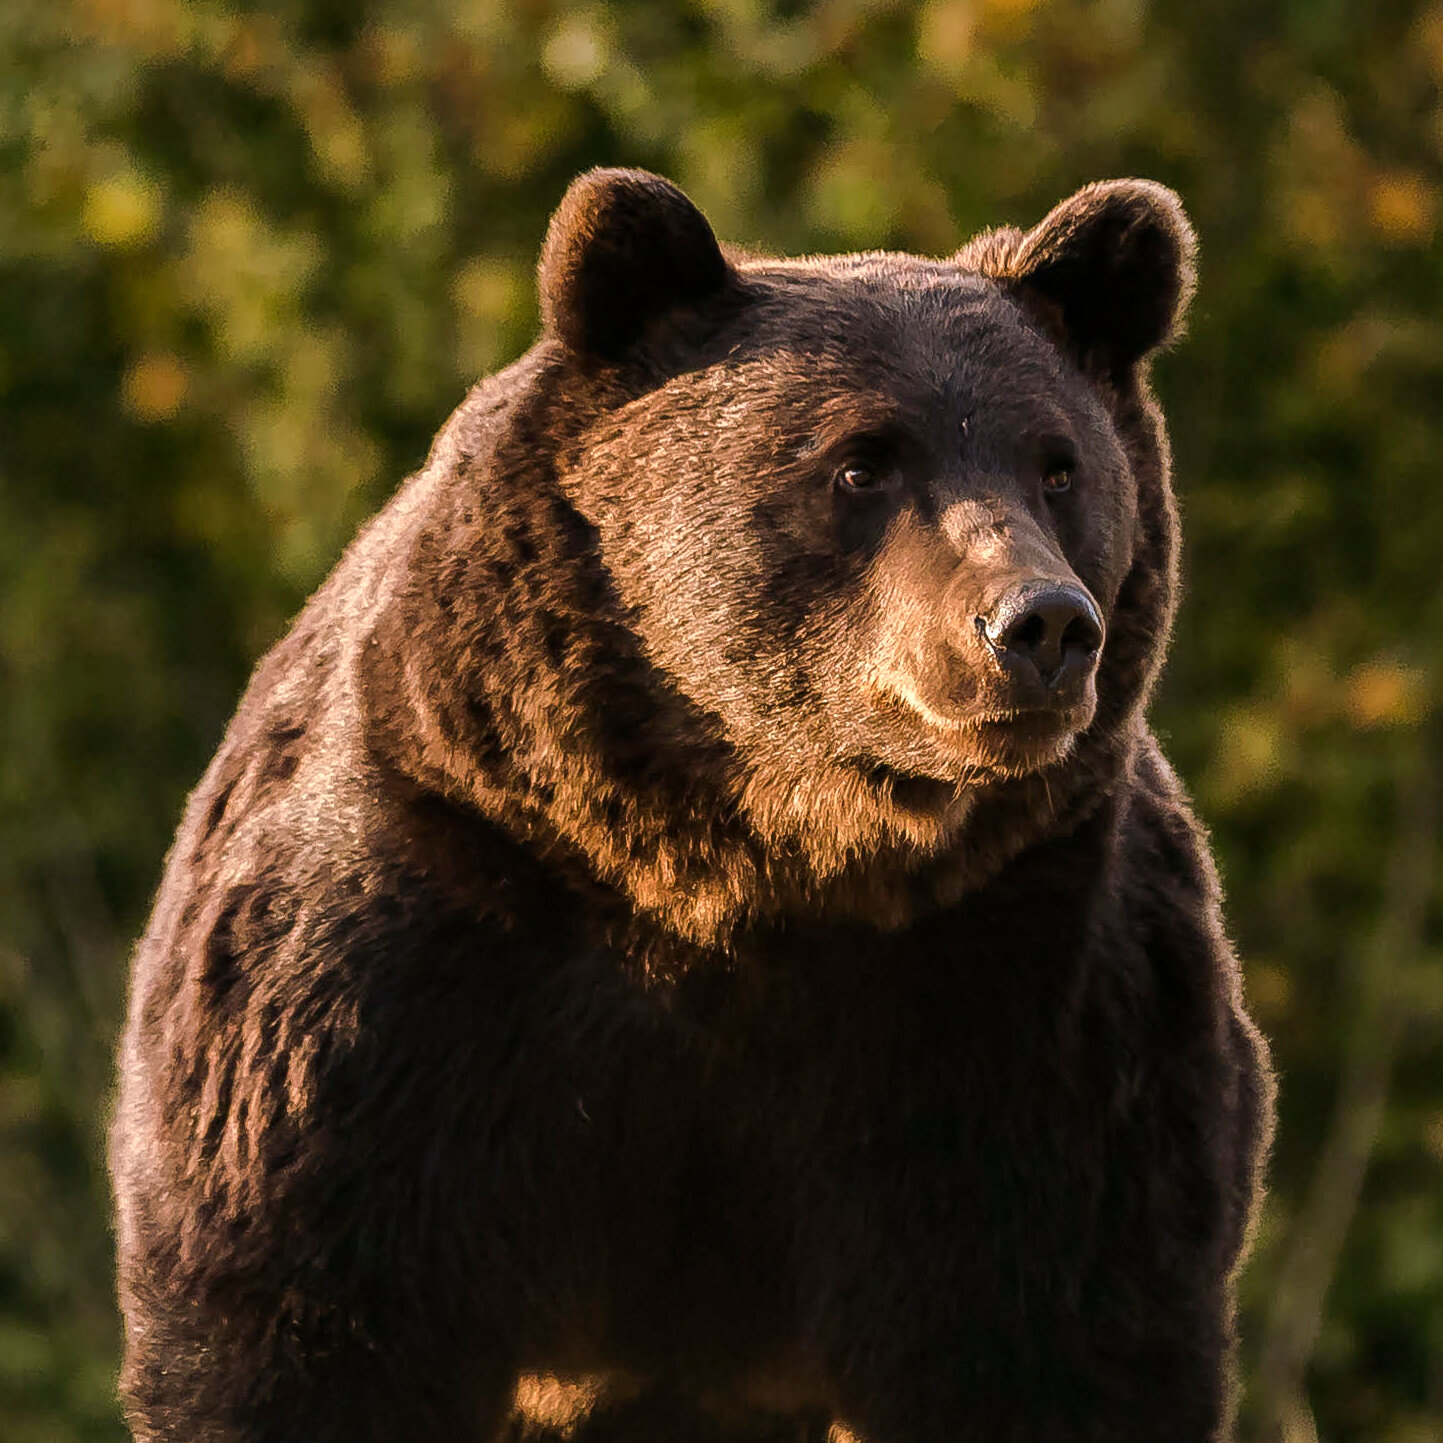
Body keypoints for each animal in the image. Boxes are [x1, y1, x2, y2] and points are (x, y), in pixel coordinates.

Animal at [110, 168, 1273, 1443]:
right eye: (861, 462)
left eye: (1058, 466)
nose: (1042, 623)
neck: (745, 867)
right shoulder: (415, 951)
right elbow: (309, 1313)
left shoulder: (1025, 999)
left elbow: (1047, 1330)